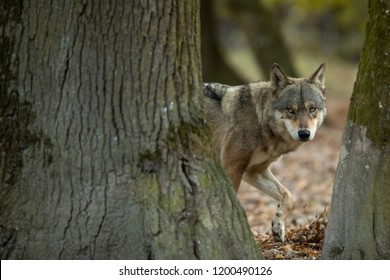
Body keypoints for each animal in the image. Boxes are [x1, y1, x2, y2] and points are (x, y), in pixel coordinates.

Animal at [203, 63, 328, 241]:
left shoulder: (253, 171)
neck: (259, 119)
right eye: (290, 110)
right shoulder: (231, 167)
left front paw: (278, 226)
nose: (304, 133)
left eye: (312, 109)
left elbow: (288, 196)